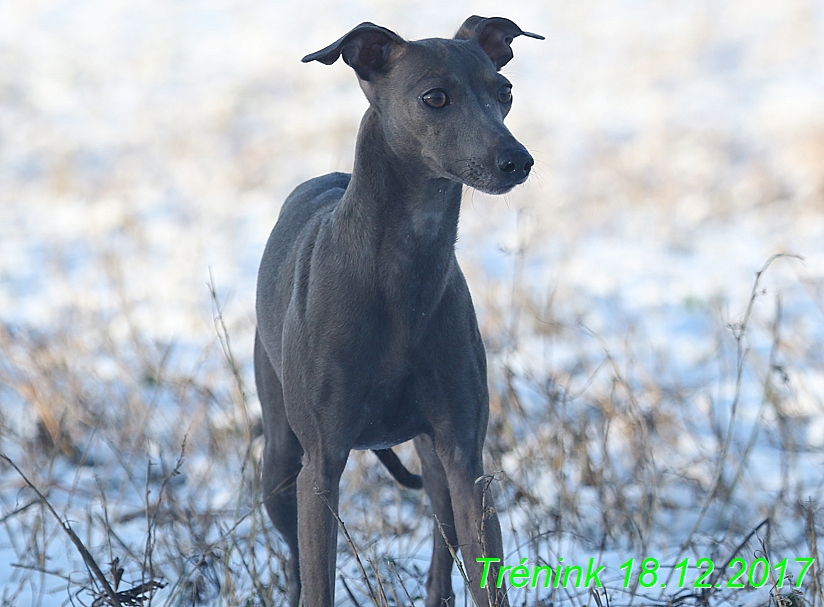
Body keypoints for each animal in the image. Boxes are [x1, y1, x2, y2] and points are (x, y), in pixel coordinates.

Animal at [254, 14, 544, 607]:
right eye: (435, 97)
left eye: (504, 90)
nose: (517, 161)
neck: (400, 275)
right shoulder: (321, 467)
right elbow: (318, 580)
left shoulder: (465, 458)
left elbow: (485, 576)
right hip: (279, 462)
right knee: (294, 562)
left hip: (433, 461)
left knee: (441, 546)